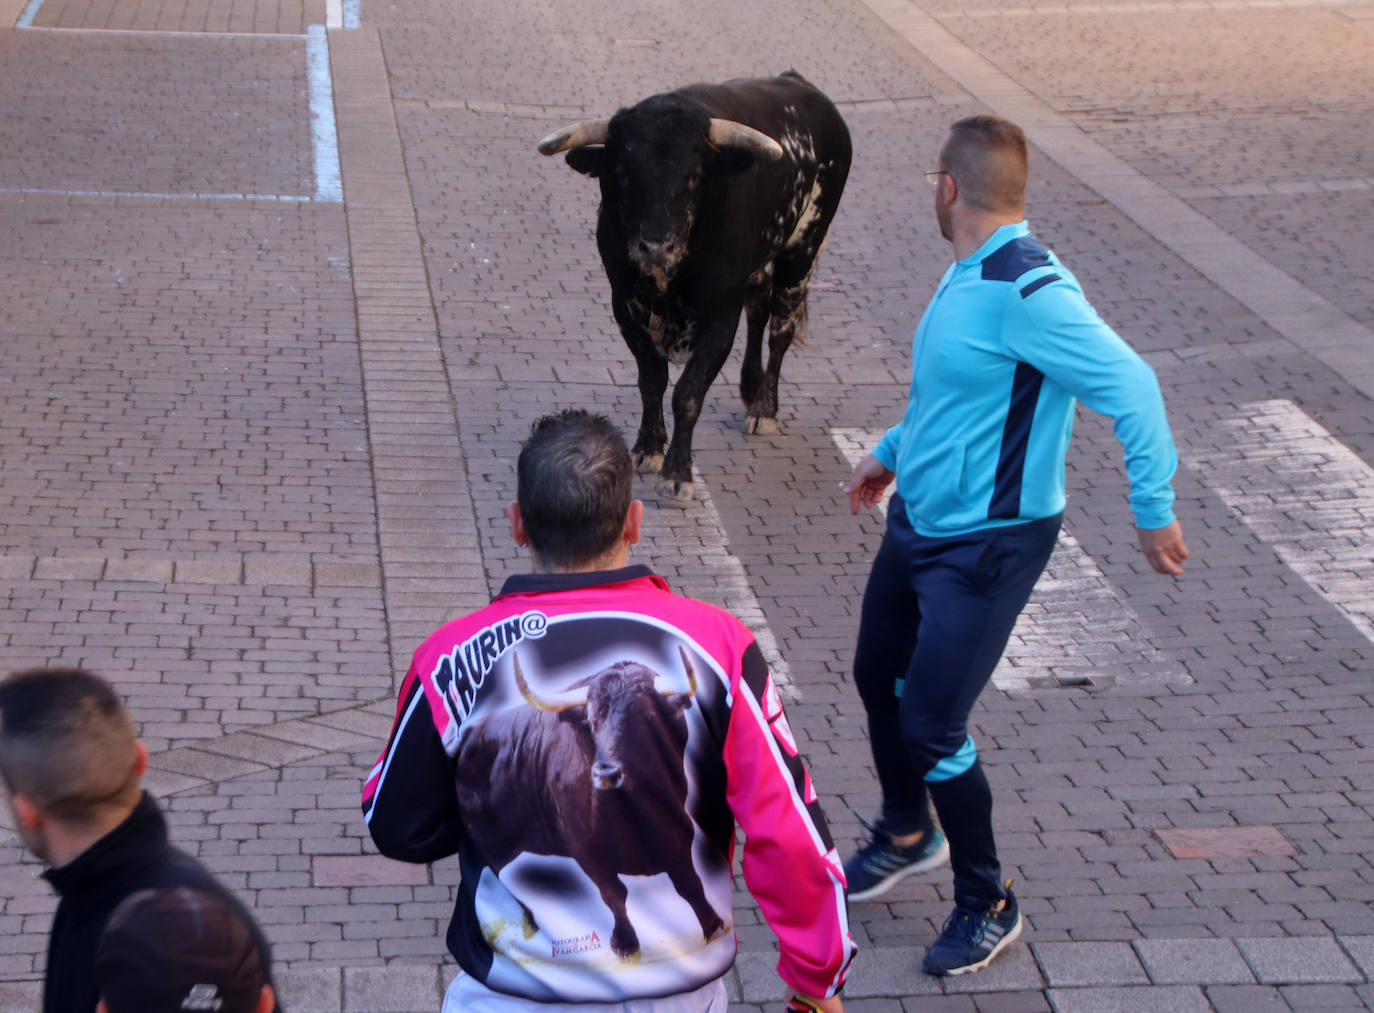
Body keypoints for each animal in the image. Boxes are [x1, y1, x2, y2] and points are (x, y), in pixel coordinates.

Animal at [453, 648, 730, 956]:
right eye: (592, 721)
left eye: (648, 718)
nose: (605, 773)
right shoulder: (586, 850)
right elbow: (614, 893)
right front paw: (625, 943)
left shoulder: (680, 833)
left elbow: (690, 884)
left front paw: (713, 925)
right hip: (492, 849)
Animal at [535, 71, 846, 503]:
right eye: (622, 173)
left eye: (695, 175)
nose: (655, 245)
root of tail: (798, 82)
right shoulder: (624, 305)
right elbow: (652, 381)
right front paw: (648, 448)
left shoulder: (720, 318)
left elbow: (688, 392)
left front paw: (677, 472)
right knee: (759, 303)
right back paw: (750, 388)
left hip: (804, 245)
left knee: (780, 329)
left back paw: (764, 409)